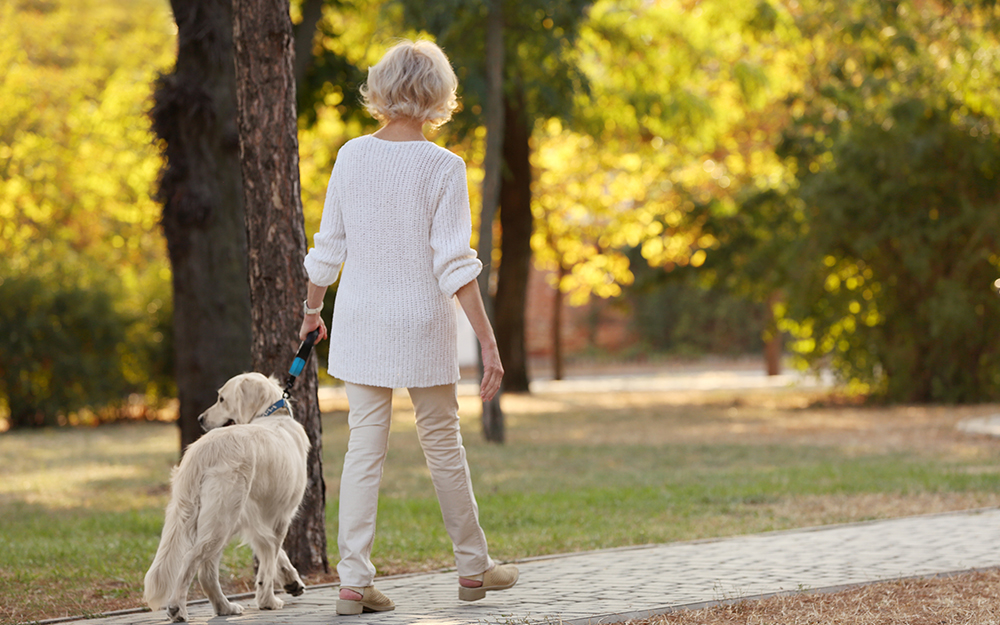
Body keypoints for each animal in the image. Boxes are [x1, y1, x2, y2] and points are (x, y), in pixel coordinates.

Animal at [143, 372, 310, 620]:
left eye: (222, 399)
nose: (200, 418)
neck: (270, 415)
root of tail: (203, 448)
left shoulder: (254, 517)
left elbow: (272, 551)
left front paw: (291, 581)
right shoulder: (280, 517)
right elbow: (269, 559)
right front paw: (268, 601)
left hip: (212, 517)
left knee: (206, 572)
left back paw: (224, 607)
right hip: (222, 519)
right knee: (192, 560)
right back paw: (177, 608)